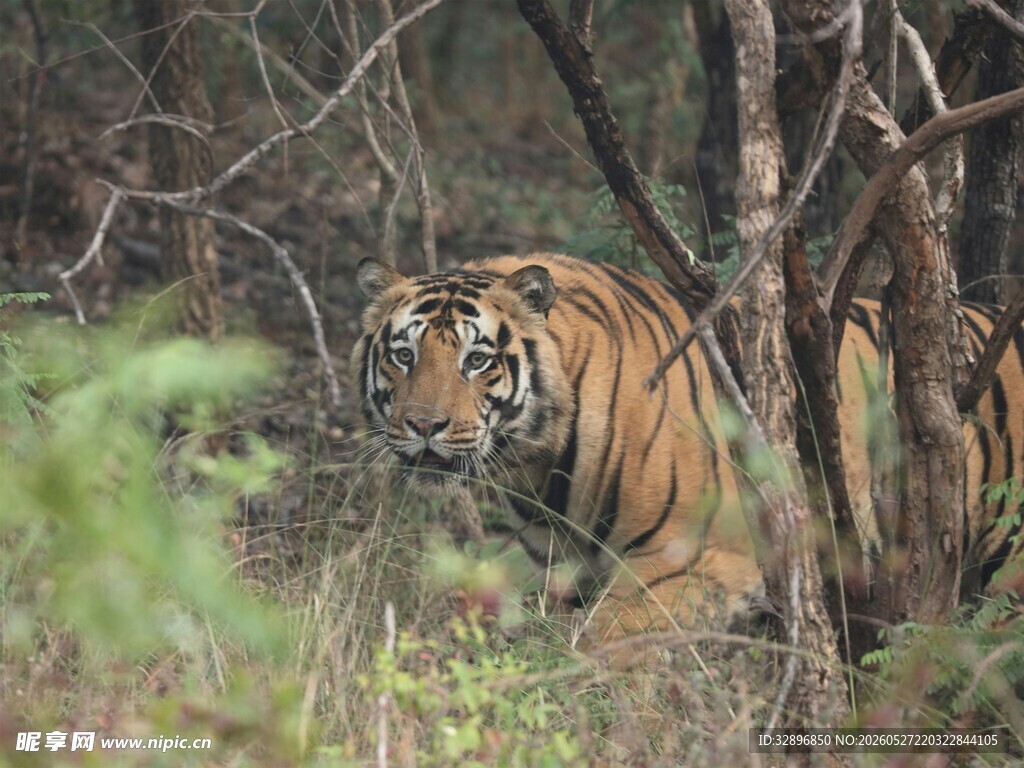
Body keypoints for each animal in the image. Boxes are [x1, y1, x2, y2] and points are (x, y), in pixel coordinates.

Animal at [352, 252, 1024, 639]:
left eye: (477, 360)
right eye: (404, 355)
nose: (424, 425)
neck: (537, 467)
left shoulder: (689, 562)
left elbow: (605, 647)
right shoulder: (544, 560)